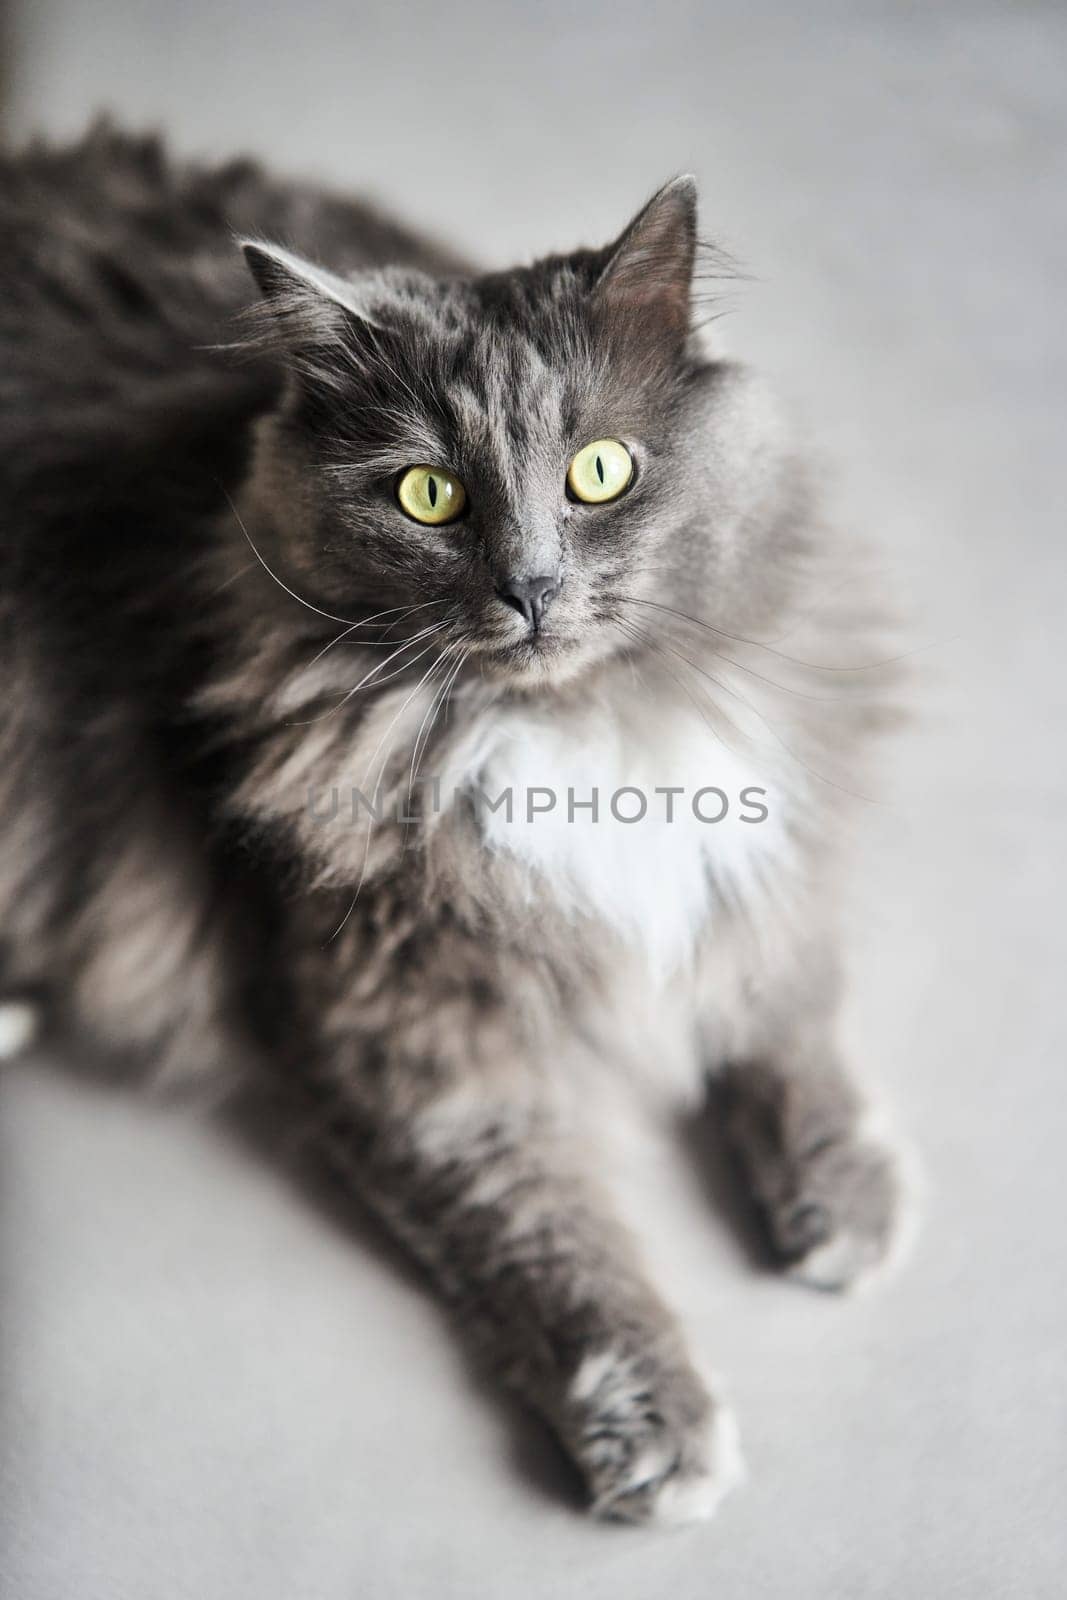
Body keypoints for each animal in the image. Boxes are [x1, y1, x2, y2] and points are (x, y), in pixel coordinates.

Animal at [0, 124, 908, 1523]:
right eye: (427, 495)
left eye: (600, 472)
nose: (529, 587)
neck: (574, 734)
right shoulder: (411, 1039)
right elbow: (551, 1238)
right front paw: (656, 1427)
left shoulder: (739, 847)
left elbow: (784, 1011)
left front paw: (845, 1198)